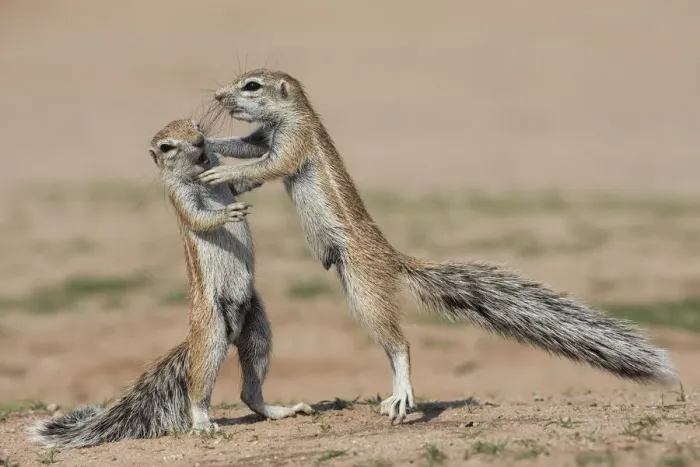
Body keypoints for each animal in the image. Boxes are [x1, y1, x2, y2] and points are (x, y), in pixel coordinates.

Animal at [29, 119, 314, 448]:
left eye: (196, 125)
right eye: (166, 147)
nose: (200, 141)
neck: (199, 177)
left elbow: (240, 186)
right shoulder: (180, 198)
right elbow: (201, 218)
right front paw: (227, 212)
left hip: (257, 327)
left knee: (250, 388)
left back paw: (280, 410)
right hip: (211, 332)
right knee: (198, 387)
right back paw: (202, 422)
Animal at [196, 69, 678, 424]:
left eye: (251, 85)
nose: (217, 94)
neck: (293, 115)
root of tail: (393, 259)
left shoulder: (293, 141)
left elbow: (268, 163)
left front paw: (221, 173)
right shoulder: (263, 135)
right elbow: (246, 146)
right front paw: (205, 140)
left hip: (364, 286)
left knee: (400, 345)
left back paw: (403, 392)